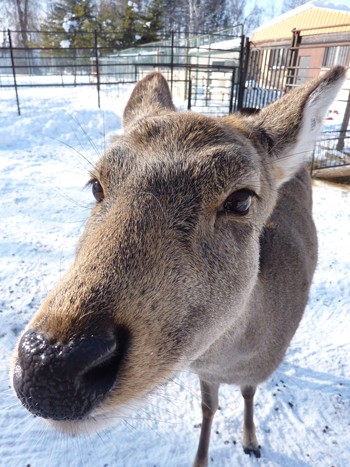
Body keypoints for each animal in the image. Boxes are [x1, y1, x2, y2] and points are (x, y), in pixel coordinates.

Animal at [9, 66, 346, 467]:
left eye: (242, 200)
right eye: (95, 185)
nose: (50, 363)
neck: (229, 358)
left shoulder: (259, 367)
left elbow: (248, 393)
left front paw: (252, 441)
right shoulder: (203, 370)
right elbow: (208, 407)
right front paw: (202, 458)